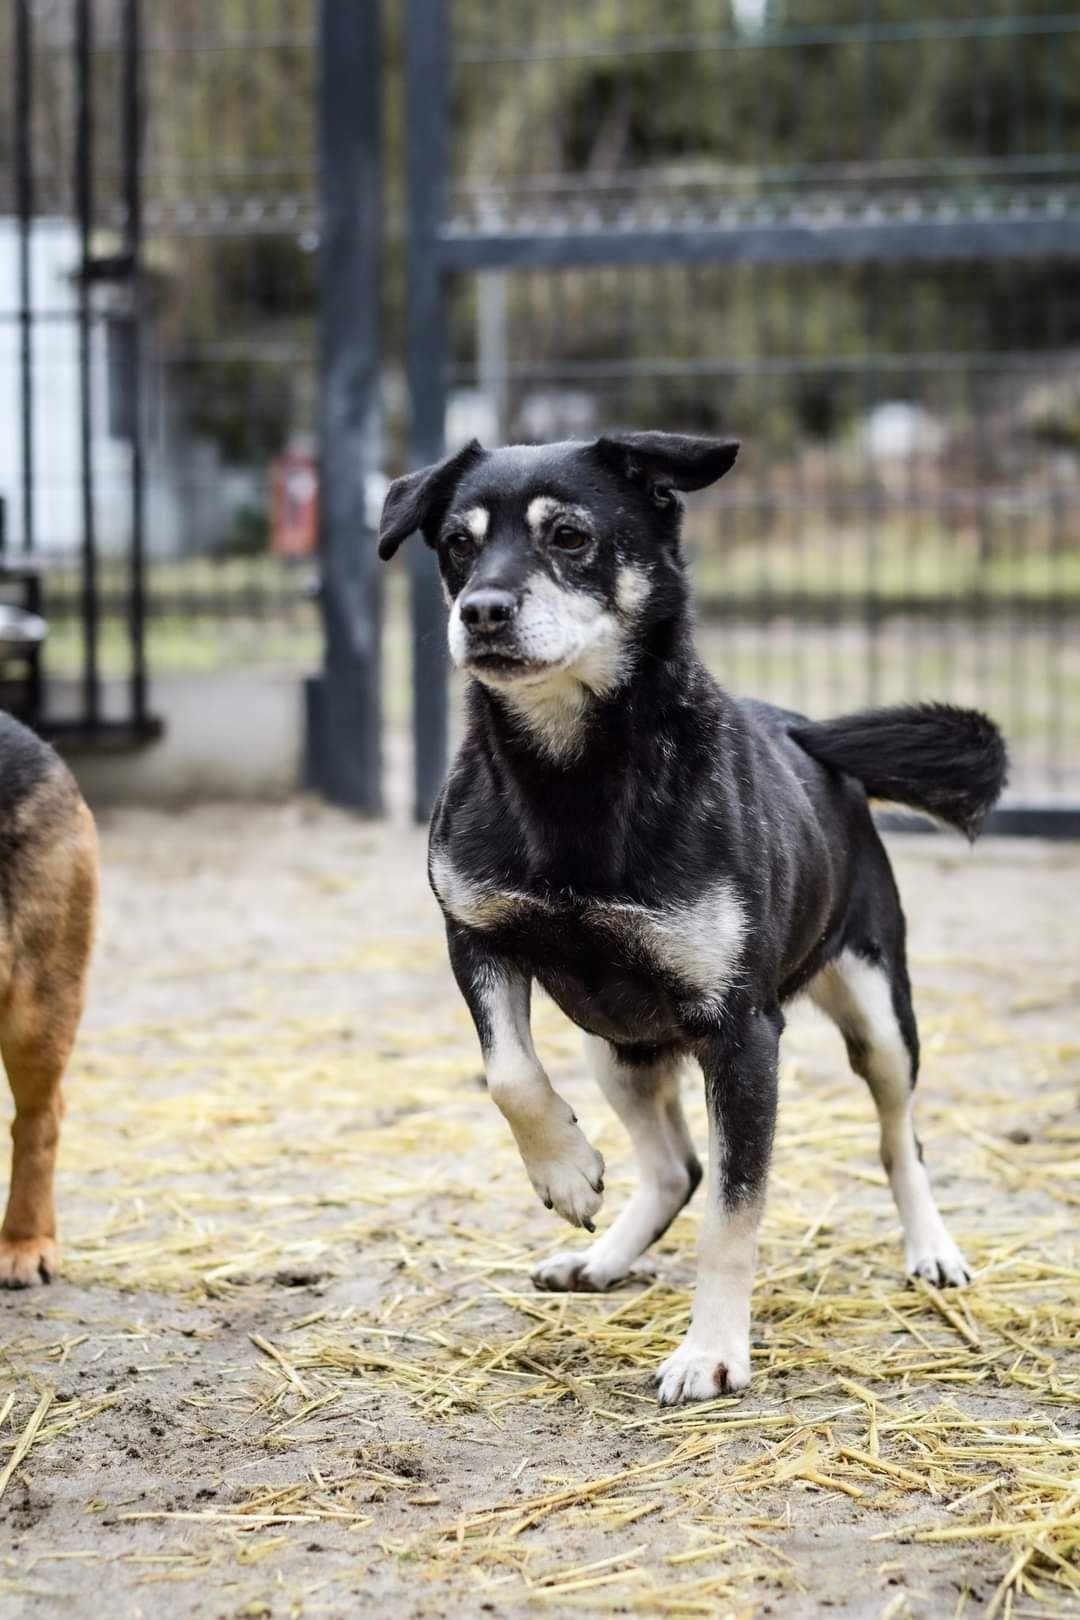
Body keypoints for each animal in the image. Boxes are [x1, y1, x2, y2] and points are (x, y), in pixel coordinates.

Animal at [378, 434, 1003, 1406]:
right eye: (455, 544)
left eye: (570, 535)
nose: (480, 611)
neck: (572, 773)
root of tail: (807, 732)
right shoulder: (477, 937)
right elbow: (509, 1076)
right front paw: (566, 1172)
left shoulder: (743, 1034)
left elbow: (731, 1214)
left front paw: (711, 1350)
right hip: (616, 1047)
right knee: (676, 1167)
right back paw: (602, 1258)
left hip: (879, 1013)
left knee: (900, 1137)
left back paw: (932, 1248)